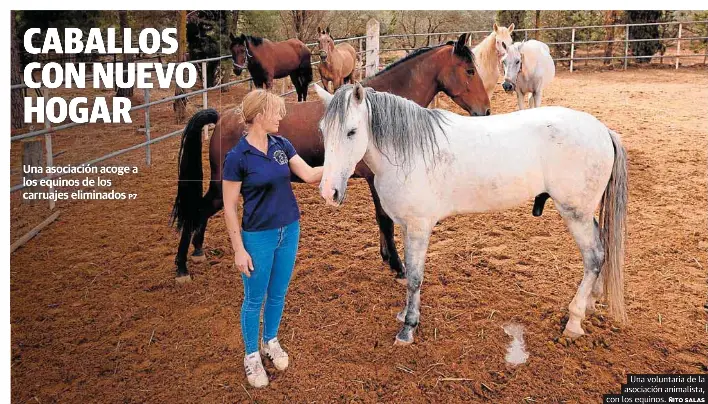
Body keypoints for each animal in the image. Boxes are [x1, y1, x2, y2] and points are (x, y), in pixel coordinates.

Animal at [171, 33, 490, 282]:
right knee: (196, 210)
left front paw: (387, 258)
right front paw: (398, 266)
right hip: (222, 184)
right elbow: (384, 220)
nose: (485, 111)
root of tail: (224, 117)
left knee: (202, 211)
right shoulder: (376, 180)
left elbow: (383, 222)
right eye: (469, 70)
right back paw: (182, 267)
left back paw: (197, 251)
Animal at [315, 83, 628, 345]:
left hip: (575, 214)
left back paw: (574, 321)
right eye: (322, 131)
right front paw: (405, 314)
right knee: (601, 251)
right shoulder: (405, 226)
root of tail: (602, 130)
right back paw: (591, 302)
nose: (329, 192)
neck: (408, 152)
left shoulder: (419, 227)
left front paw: (408, 327)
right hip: (584, 214)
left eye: (352, 131)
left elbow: (415, 277)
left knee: (593, 258)